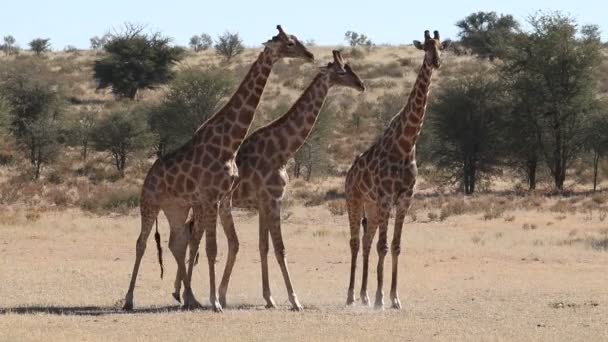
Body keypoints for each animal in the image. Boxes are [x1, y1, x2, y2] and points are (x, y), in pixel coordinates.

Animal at [121, 25, 316, 312]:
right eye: (289, 43)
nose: (310, 55)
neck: (229, 143)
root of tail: (148, 175)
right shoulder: (212, 197)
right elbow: (212, 249)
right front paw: (215, 301)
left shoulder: (221, 197)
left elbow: (214, 247)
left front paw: (211, 299)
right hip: (149, 202)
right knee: (141, 243)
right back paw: (129, 300)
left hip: (176, 207)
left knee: (175, 243)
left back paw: (190, 298)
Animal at [177, 50, 366, 310]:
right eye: (341, 71)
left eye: (350, 67)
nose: (361, 85)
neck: (282, 150)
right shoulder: (273, 199)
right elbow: (279, 248)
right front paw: (294, 300)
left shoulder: (263, 203)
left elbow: (263, 247)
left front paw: (269, 298)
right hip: (204, 202)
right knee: (193, 238)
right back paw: (188, 296)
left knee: (191, 235)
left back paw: (184, 293)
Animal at [344, 30, 448, 310]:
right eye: (425, 47)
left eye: (441, 46)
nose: (436, 61)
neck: (406, 144)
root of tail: (348, 173)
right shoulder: (385, 197)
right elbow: (383, 246)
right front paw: (382, 298)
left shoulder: (404, 199)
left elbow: (395, 246)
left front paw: (393, 298)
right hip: (355, 200)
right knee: (356, 242)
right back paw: (351, 296)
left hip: (371, 207)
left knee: (366, 241)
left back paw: (364, 296)